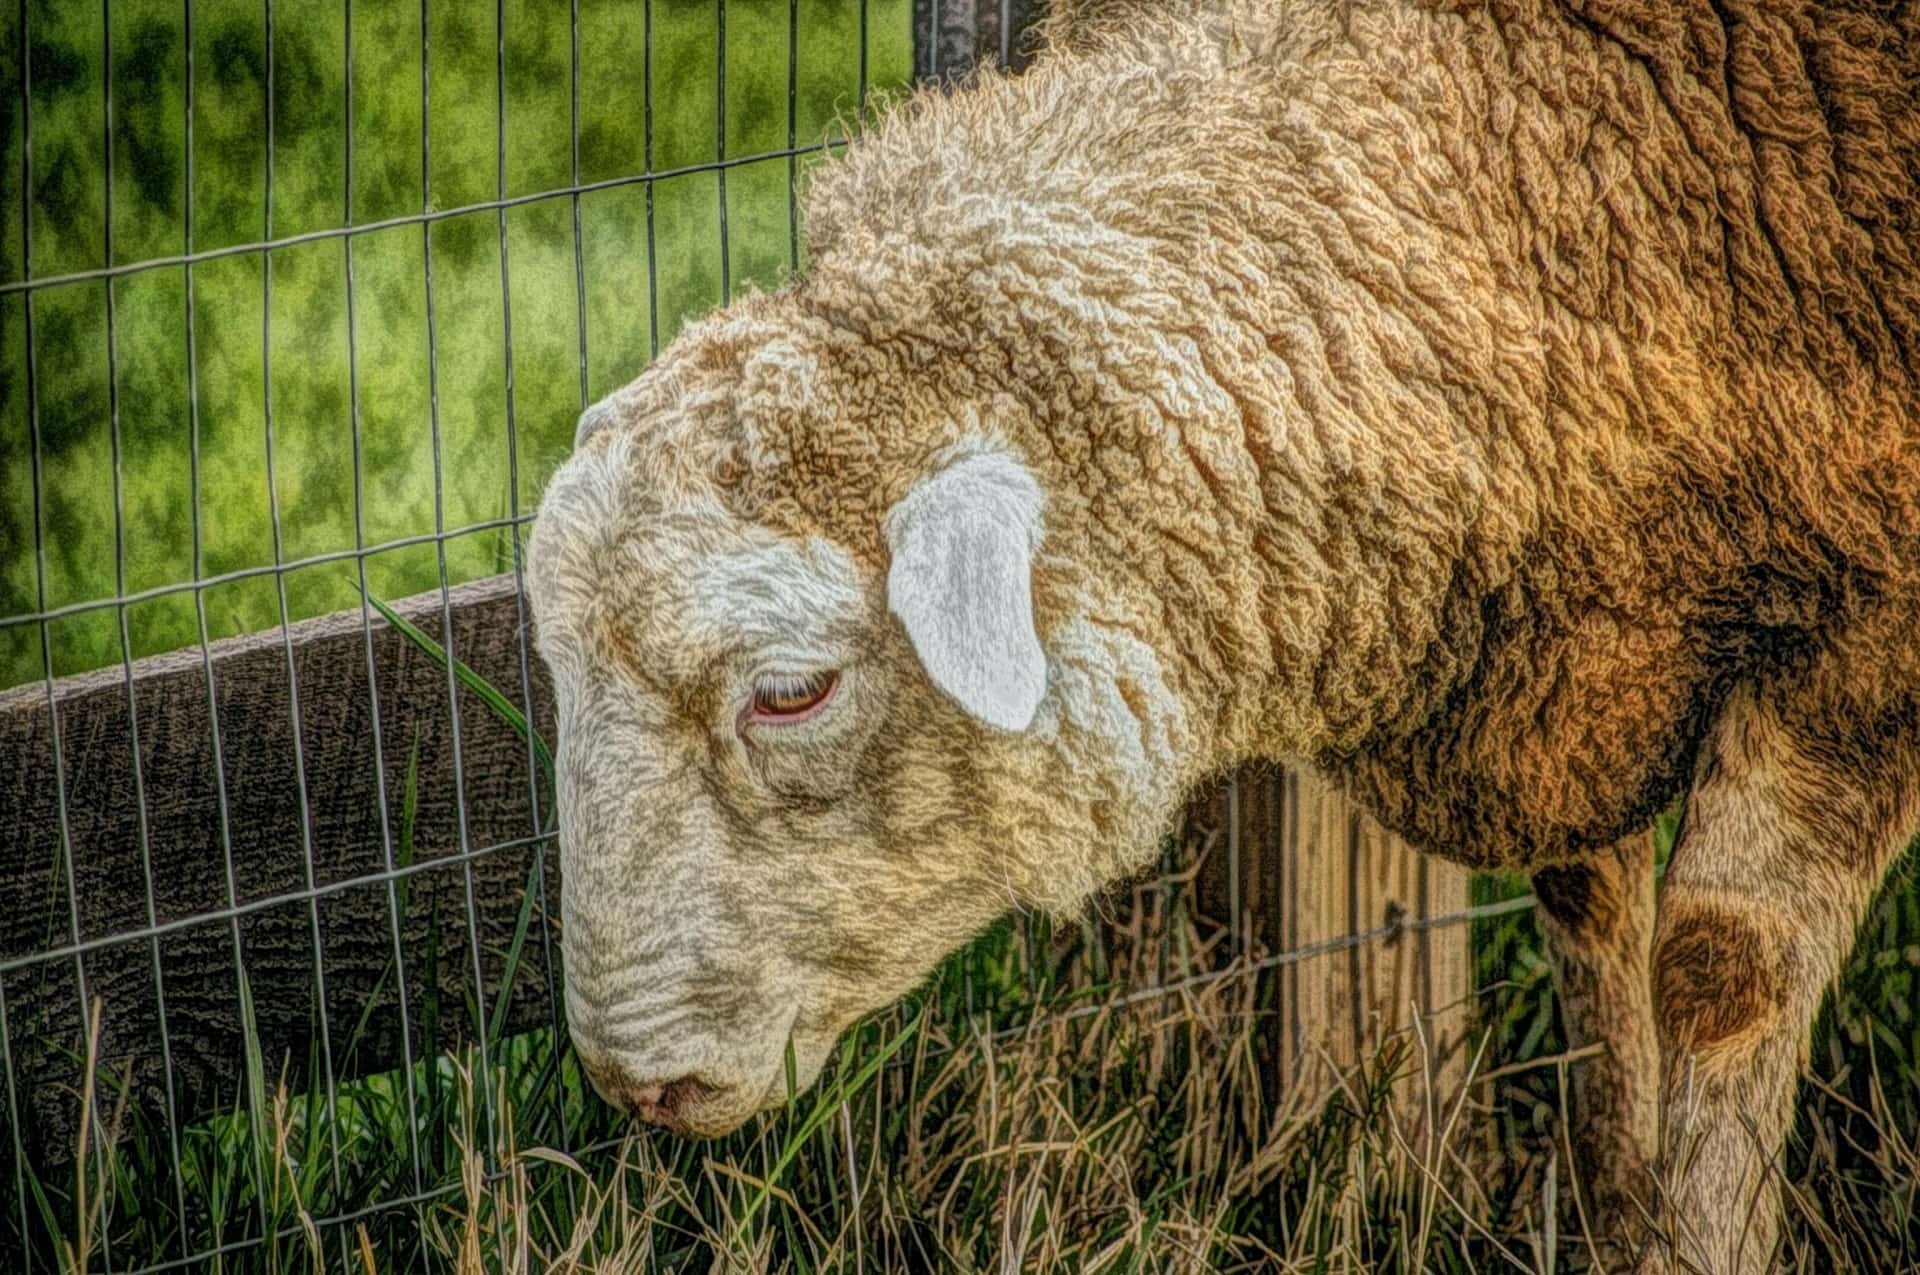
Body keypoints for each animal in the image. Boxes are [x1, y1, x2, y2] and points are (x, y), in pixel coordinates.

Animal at [526, 4, 1920, 1267]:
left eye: (792, 694)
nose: (636, 1088)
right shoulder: (1577, 654)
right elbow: (1589, 911)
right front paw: (1620, 1215)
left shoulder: (1868, 633)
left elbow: (1719, 973)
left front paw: (1691, 1237)